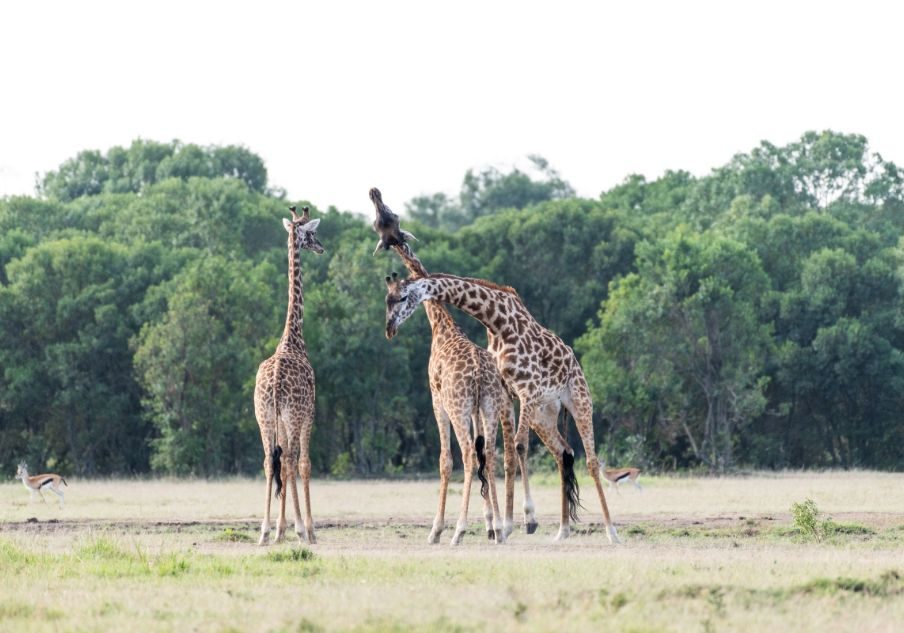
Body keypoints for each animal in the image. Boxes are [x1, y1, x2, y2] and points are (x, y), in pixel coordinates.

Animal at [382, 272, 620, 544]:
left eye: (402, 297)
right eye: (387, 299)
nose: (389, 328)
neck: (497, 321)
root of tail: (574, 360)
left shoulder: (527, 390)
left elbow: (518, 445)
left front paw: (521, 520)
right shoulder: (505, 393)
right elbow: (505, 453)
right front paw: (504, 526)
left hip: (580, 400)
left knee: (591, 460)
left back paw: (612, 532)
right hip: (544, 414)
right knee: (563, 453)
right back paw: (562, 531)